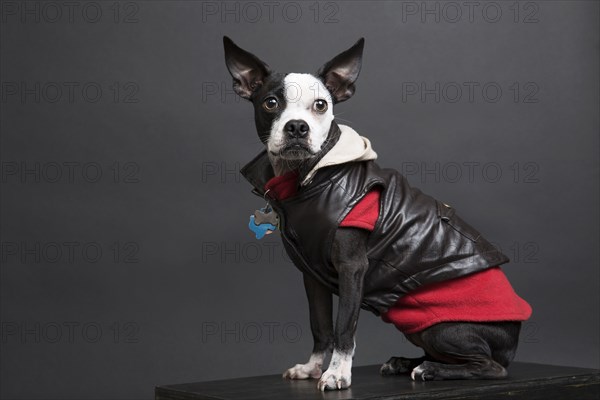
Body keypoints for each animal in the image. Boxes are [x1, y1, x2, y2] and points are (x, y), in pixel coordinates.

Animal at [223, 36, 532, 390]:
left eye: (321, 105)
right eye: (271, 103)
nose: (297, 127)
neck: (307, 176)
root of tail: (513, 337)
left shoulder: (352, 268)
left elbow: (343, 326)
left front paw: (337, 374)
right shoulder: (310, 274)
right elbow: (321, 326)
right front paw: (313, 368)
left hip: (444, 329)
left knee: (490, 366)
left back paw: (432, 369)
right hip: (417, 327)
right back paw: (407, 362)